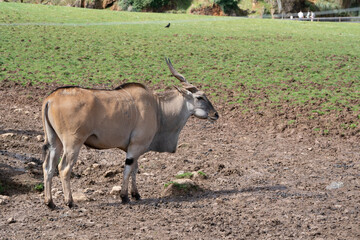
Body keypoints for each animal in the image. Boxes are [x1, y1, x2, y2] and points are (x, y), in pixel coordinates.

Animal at [40, 58, 218, 208]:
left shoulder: (136, 147)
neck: (157, 107)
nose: (215, 114)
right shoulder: (135, 146)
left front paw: (136, 194)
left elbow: (135, 169)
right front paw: (124, 196)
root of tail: (50, 98)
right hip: (72, 144)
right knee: (63, 168)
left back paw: (50, 203)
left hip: (55, 142)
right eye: (200, 97)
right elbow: (128, 168)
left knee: (48, 167)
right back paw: (69, 202)